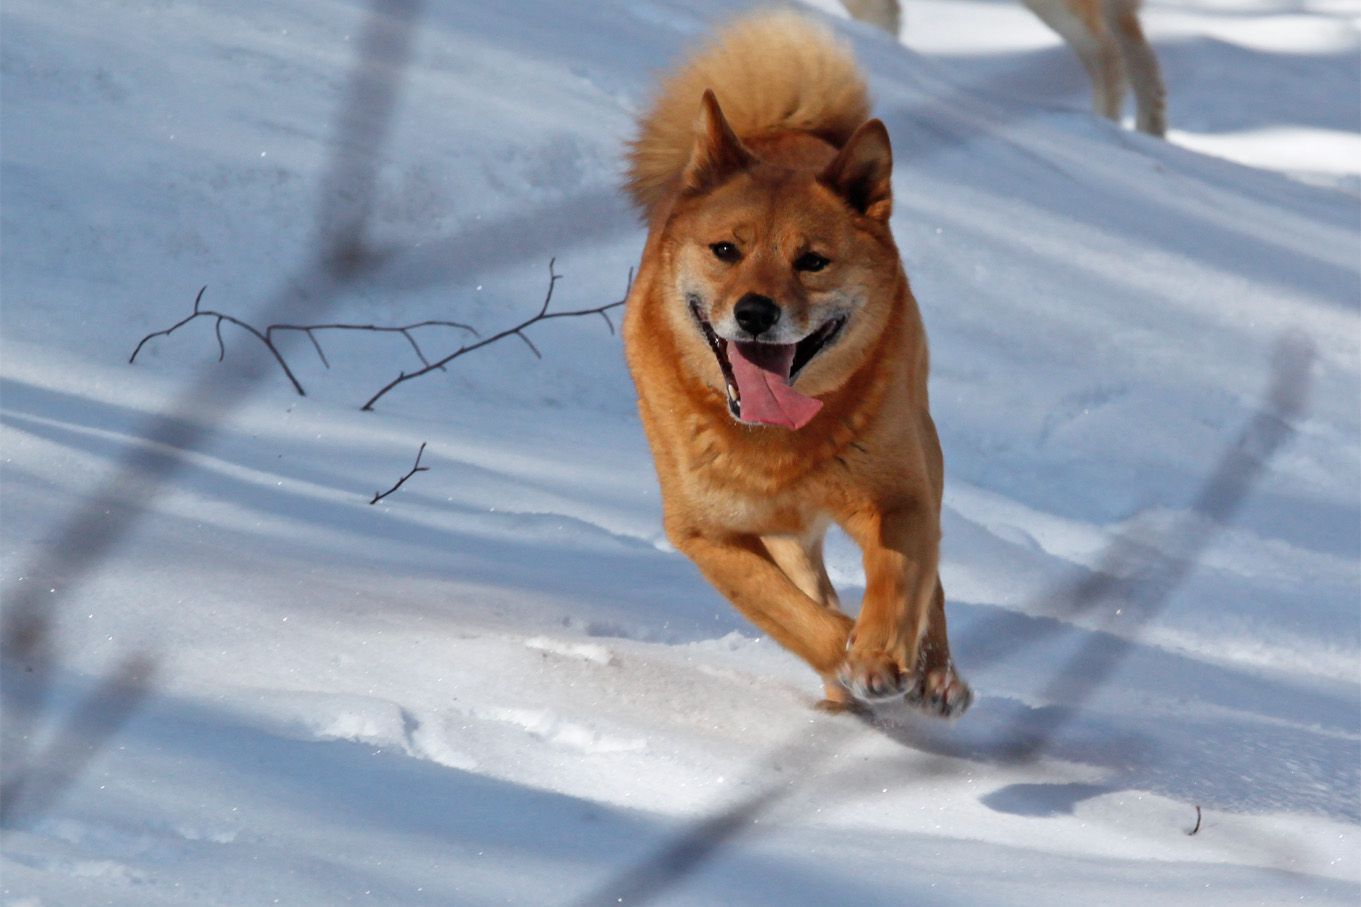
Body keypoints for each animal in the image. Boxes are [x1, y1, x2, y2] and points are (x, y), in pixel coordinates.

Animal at [623, 8, 974, 713]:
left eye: (812, 261)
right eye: (726, 249)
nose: (756, 312)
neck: (777, 446)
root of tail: (784, 129)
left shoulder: (899, 498)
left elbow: (901, 583)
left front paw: (882, 655)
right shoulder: (706, 533)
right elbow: (790, 613)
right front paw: (848, 659)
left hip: (921, 446)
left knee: (933, 581)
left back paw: (937, 674)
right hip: (787, 535)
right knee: (814, 588)